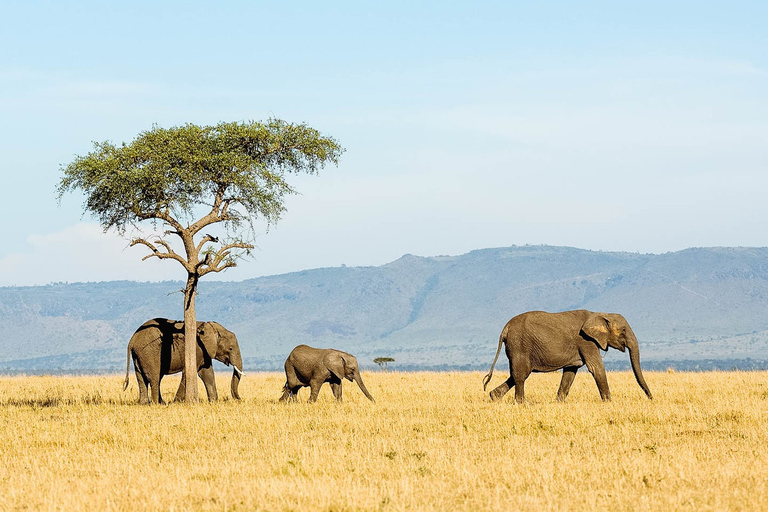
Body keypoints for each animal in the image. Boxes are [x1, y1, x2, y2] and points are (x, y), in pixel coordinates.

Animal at [484, 310, 652, 402]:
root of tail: (505, 329)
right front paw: (609, 403)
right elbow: (596, 368)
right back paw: (521, 403)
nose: (651, 398)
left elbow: (570, 372)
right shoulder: (586, 340)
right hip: (520, 345)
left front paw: (559, 402)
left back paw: (494, 397)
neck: (600, 314)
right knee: (520, 375)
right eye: (623, 330)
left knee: (516, 374)